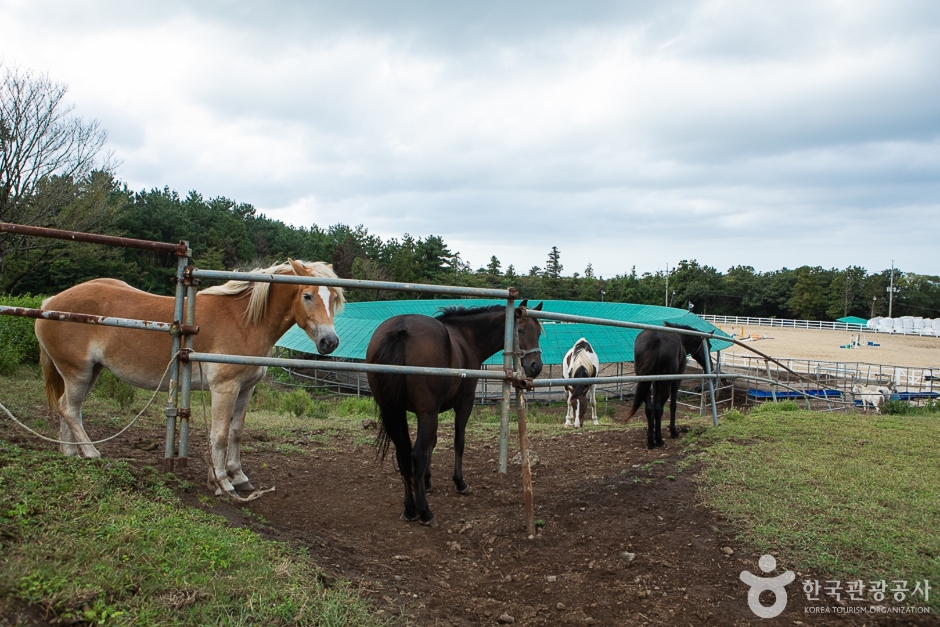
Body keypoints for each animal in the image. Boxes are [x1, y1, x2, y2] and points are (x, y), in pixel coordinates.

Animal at [34, 259, 344, 495]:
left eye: (334, 298)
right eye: (307, 296)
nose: (330, 342)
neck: (244, 321)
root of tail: (50, 303)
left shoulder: (245, 389)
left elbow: (236, 432)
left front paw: (238, 476)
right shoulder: (224, 389)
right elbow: (219, 435)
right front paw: (221, 482)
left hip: (89, 373)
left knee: (67, 409)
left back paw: (71, 455)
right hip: (78, 372)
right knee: (69, 409)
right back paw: (91, 454)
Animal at [367, 301, 544, 526]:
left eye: (538, 332)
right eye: (520, 330)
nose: (535, 366)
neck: (466, 337)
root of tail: (401, 329)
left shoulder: (426, 412)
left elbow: (431, 444)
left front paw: (427, 481)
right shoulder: (463, 404)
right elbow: (458, 442)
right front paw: (459, 483)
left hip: (397, 411)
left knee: (403, 454)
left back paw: (409, 509)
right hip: (426, 413)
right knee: (415, 454)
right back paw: (425, 512)